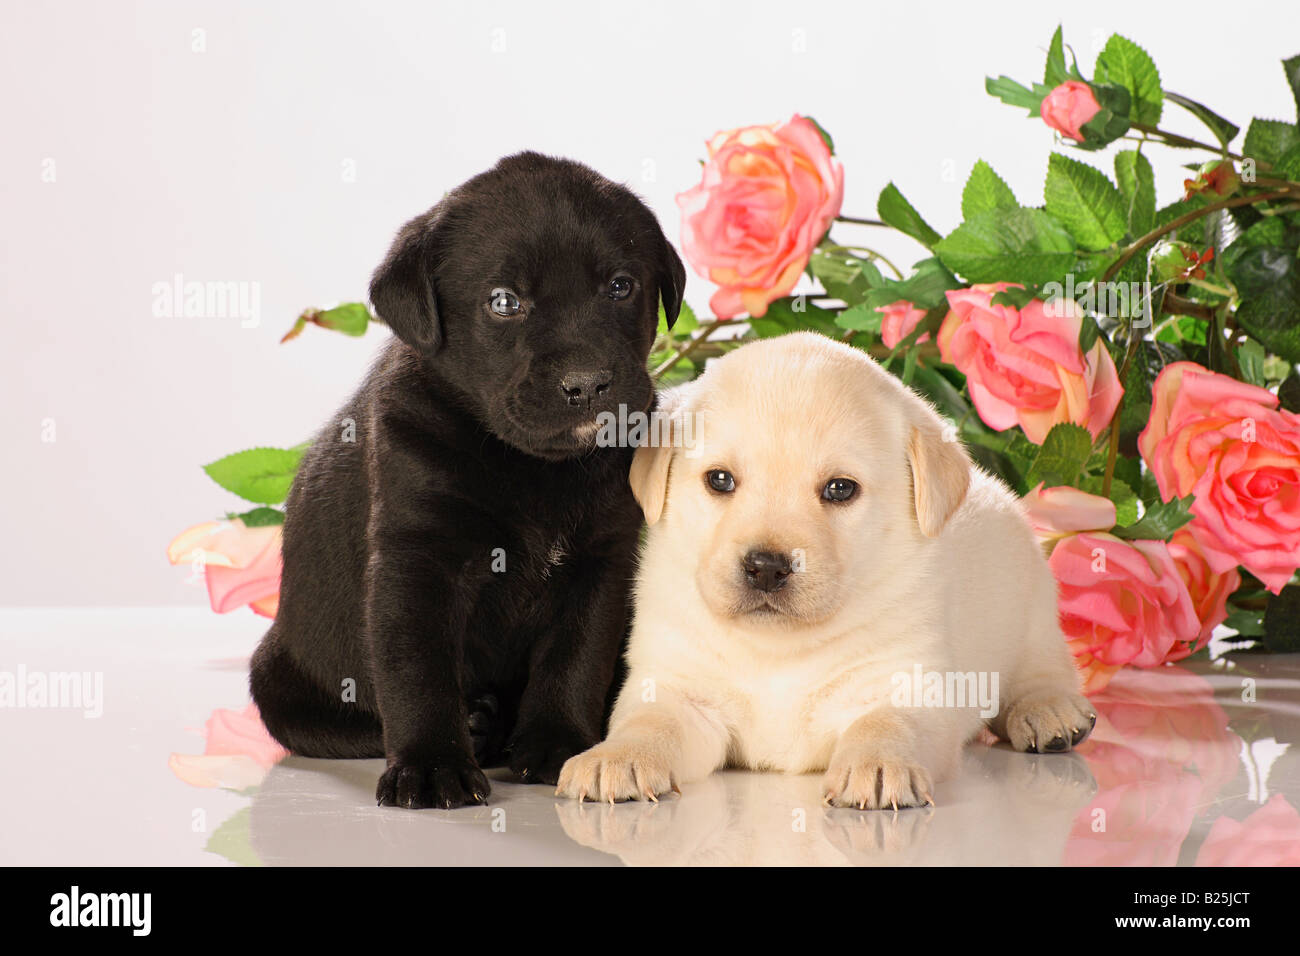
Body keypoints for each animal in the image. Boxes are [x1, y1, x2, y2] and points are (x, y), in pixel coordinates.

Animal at [246, 153, 686, 811]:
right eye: (504, 302)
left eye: (620, 286)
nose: (587, 383)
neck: (533, 467)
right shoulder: (417, 562)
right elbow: (418, 672)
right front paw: (432, 766)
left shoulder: (602, 562)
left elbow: (576, 659)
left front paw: (557, 744)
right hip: (276, 677)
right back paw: (475, 727)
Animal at [553, 332, 1092, 811]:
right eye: (719, 480)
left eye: (839, 489)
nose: (766, 568)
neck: (777, 649)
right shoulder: (676, 688)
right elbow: (648, 723)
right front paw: (615, 758)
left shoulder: (905, 684)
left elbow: (886, 724)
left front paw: (878, 766)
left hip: (1035, 609)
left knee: (1040, 671)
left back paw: (1049, 712)